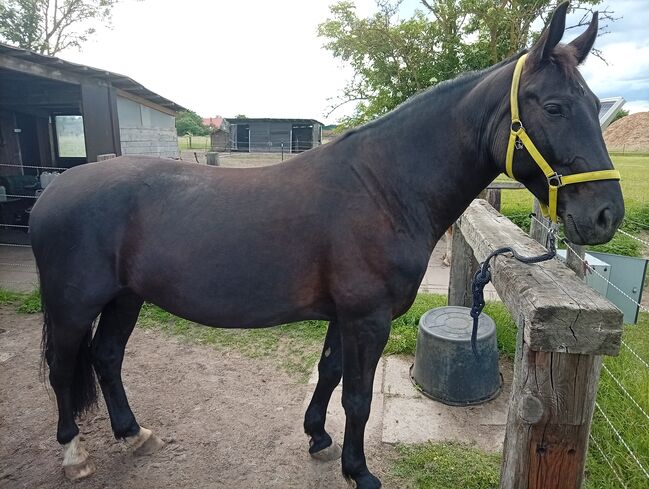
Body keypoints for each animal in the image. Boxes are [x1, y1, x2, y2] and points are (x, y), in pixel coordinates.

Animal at [29, 3, 623, 488]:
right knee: (63, 368)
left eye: (596, 103)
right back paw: (74, 455)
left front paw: (318, 436)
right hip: (72, 305)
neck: (382, 188)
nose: (605, 215)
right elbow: (357, 398)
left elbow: (330, 374)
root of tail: (52, 190)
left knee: (106, 358)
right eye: (554, 107)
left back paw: (133, 434)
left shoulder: (345, 316)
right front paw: (359, 471)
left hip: (126, 298)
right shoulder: (368, 318)